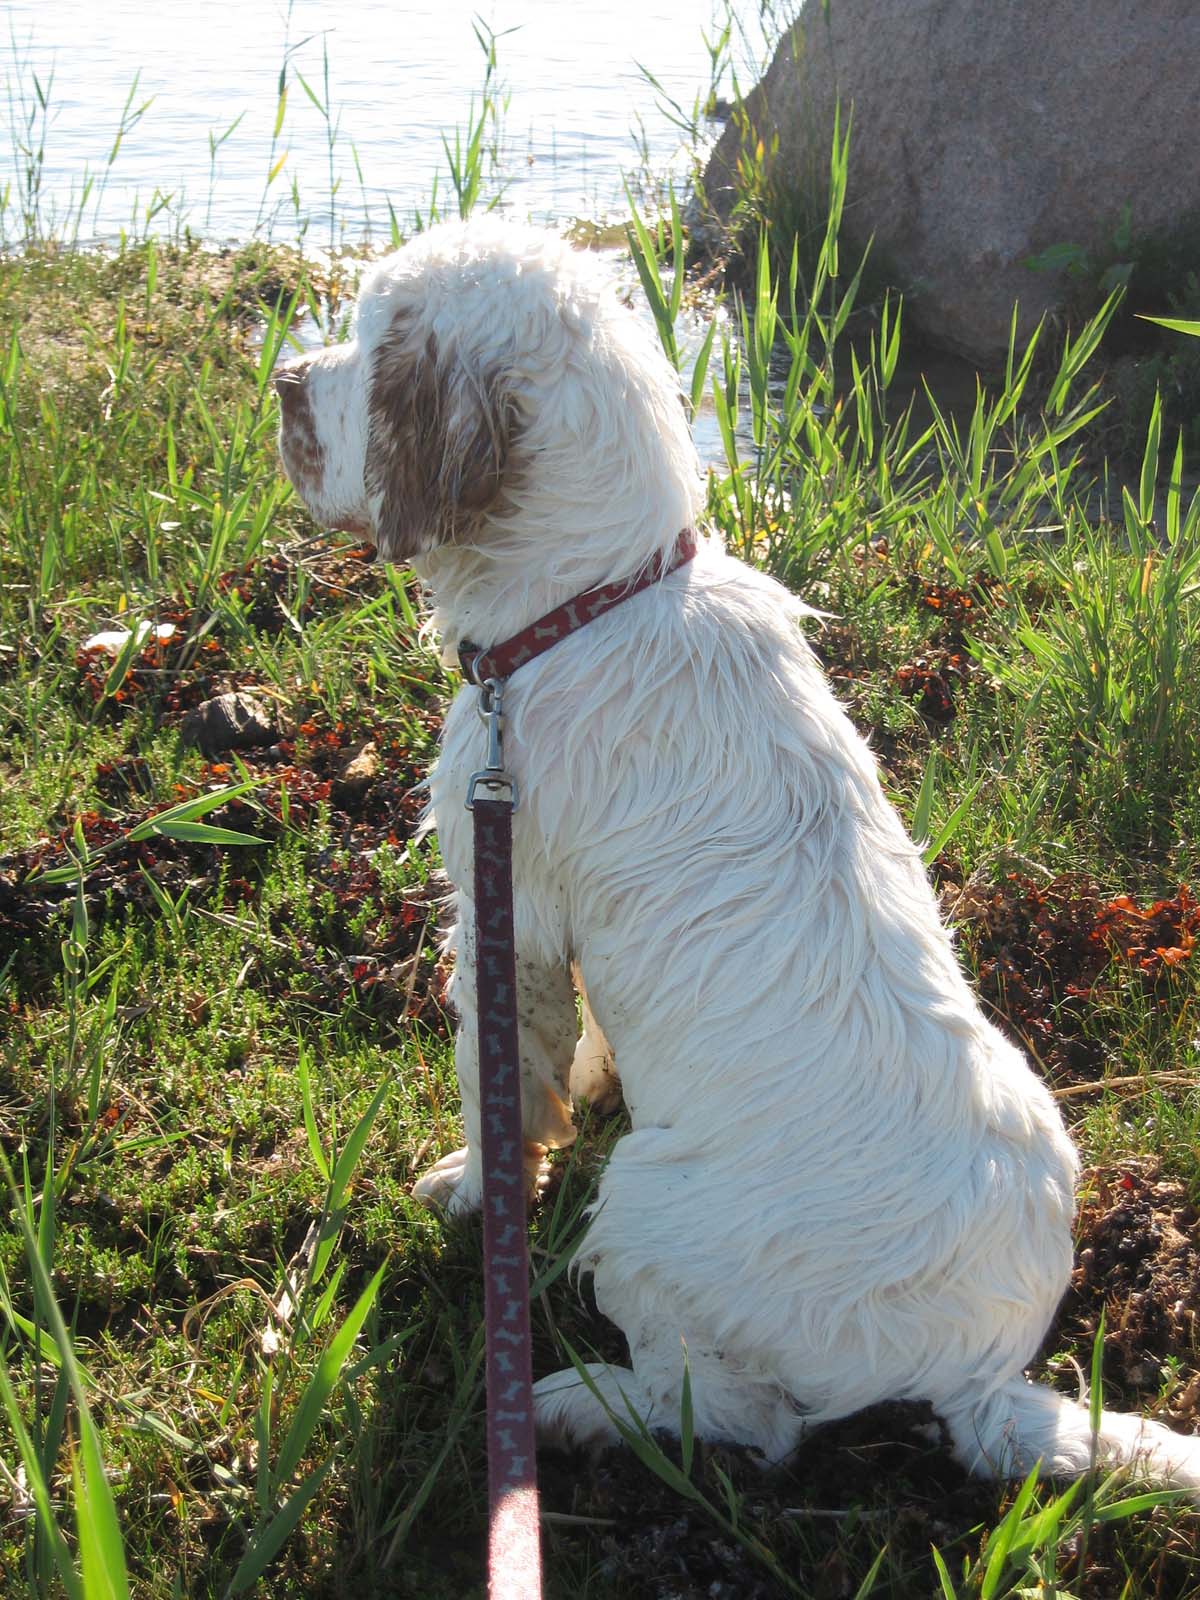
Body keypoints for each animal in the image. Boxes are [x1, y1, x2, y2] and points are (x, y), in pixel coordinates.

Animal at [276, 217, 1200, 1489]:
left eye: (369, 347)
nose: (280, 384)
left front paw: (473, 1189)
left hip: (642, 1213)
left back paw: (576, 1403)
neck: (595, 598)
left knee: (744, 1419)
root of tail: (971, 1370)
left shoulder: (506, 902)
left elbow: (499, 1079)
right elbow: (581, 1047)